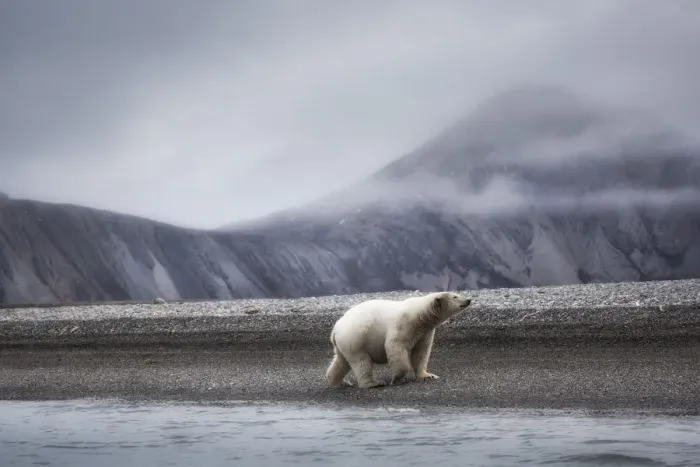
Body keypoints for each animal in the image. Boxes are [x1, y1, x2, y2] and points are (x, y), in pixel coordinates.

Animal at [325, 291, 472, 389]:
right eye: (455, 296)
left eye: (457, 293)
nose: (469, 300)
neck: (420, 315)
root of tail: (335, 329)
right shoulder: (404, 324)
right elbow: (395, 347)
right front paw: (397, 378)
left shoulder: (425, 331)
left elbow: (421, 352)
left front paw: (428, 375)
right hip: (355, 338)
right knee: (361, 362)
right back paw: (374, 383)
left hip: (344, 343)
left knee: (341, 361)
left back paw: (339, 382)